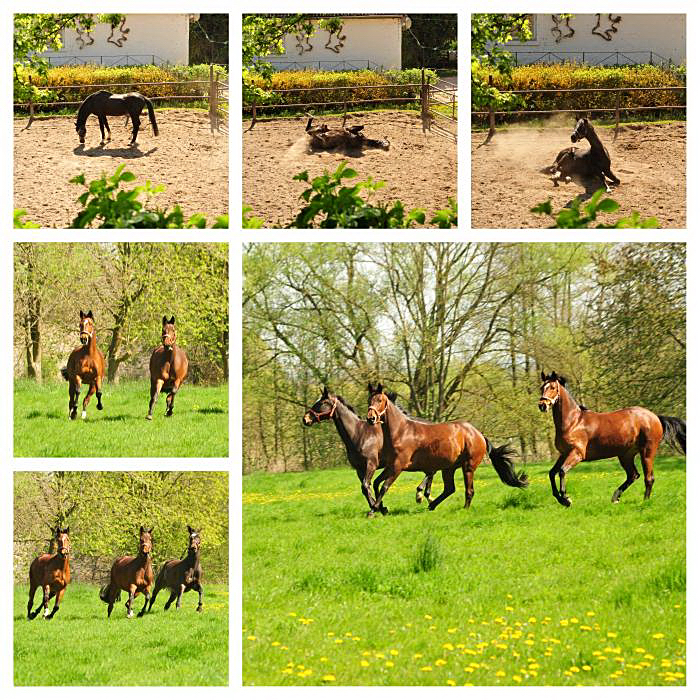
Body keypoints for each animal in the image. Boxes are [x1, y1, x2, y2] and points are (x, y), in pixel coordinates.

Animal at [300, 386, 432, 516]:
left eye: (322, 403)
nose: (305, 419)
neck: (359, 434)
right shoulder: (359, 469)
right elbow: (365, 488)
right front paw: (380, 507)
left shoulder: (371, 464)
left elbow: (366, 485)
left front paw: (377, 508)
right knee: (429, 472)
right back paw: (427, 497)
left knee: (429, 472)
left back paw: (421, 495)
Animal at [366, 382, 524, 516]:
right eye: (369, 400)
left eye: (380, 400)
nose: (370, 418)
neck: (401, 432)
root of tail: (478, 434)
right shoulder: (391, 466)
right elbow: (376, 483)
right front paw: (382, 508)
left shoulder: (398, 467)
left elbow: (384, 486)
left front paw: (373, 511)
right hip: (448, 468)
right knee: (450, 488)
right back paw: (432, 505)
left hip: (468, 467)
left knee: (469, 490)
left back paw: (463, 509)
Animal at [540, 370, 688, 506]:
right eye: (542, 387)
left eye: (552, 387)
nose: (542, 405)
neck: (573, 422)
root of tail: (655, 417)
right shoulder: (564, 453)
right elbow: (552, 473)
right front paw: (560, 498)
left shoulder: (577, 453)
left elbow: (562, 471)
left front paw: (566, 499)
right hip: (625, 455)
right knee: (633, 475)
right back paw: (616, 497)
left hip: (647, 452)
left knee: (648, 478)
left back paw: (644, 502)